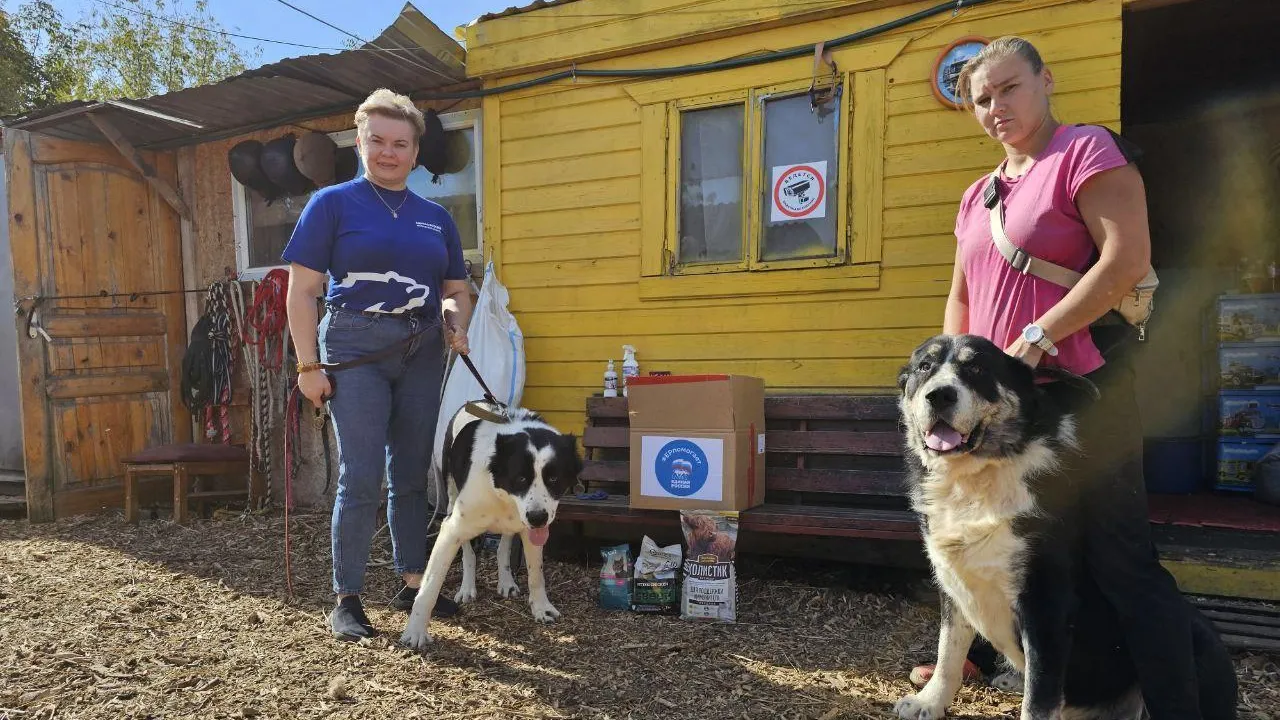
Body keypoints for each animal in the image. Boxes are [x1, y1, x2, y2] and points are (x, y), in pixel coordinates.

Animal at [396, 399, 583, 648]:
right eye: (521, 478)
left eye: (554, 479)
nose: (538, 517)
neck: (502, 493)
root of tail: (479, 401)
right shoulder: (451, 529)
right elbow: (429, 587)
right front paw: (416, 631)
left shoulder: (531, 529)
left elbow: (536, 574)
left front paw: (541, 608)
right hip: (452, 496)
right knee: (468, 552)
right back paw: (467, 587)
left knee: (504, 546)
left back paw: (506, 580)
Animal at [890, 335, 1228, 717]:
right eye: (925, 367)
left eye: (976, 368)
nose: (940, 395)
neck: (976, 478)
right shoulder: (954, 583)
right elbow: (949, 649)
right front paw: (929, 702)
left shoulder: (1046, 602)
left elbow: (1039, 696)